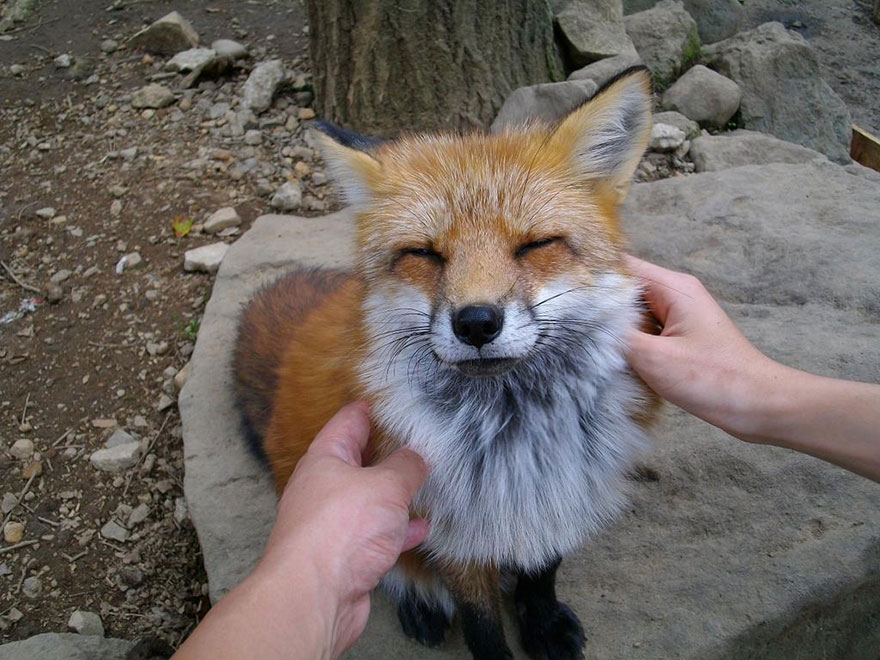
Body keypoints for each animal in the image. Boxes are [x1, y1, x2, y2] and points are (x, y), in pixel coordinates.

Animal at [232, 67, 658, 660]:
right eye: (424, 254)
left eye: (535, 245)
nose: (476, 323)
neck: (513, 437)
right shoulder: (448, 528)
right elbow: (481, 625)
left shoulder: (564, 485)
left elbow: (543, 569)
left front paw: (543, 622)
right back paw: (419, 602)